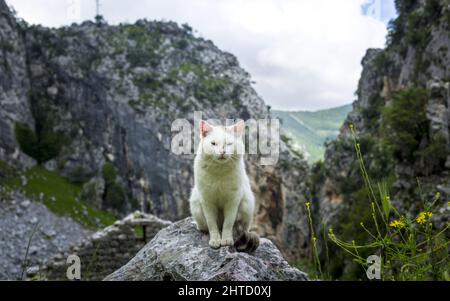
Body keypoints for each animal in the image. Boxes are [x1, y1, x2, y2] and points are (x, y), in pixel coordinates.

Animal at [190, 119, 260, 251]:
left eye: (229, 144)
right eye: (213, 143)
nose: (222, 152)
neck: (219, 172)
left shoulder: (233, 200)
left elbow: (228, 223)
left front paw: (226, 240)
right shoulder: (207, 201)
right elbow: (212, 224)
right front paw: (215, 240)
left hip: (247, 204)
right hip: (196, 205)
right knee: (206, 226)